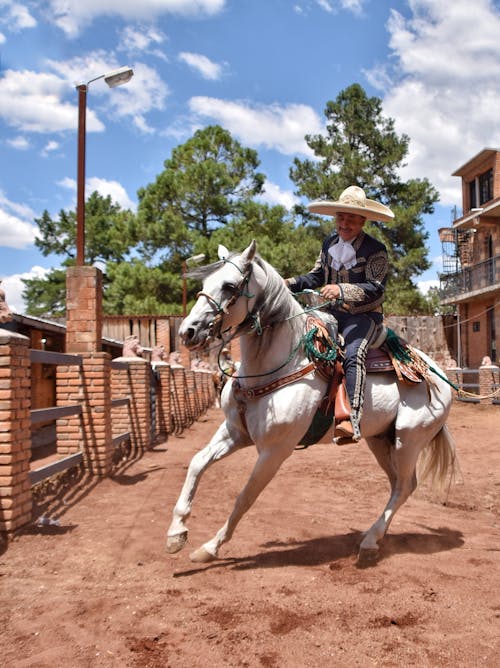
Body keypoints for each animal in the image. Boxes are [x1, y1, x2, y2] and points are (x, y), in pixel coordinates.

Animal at [166, 240, 456, 564]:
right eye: (204, 284)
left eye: (229, 286)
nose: (187, 331)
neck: (275, 366)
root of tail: (436, 373)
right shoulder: (234, 432)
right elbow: (196, 463)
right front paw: (176, 532)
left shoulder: (274, 451)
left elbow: (245, 497)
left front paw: (210, 547)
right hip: (381, 439)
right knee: (397, 484)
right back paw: (375, 538)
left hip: (409, 440)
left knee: (405, 485)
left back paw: (369, 541)